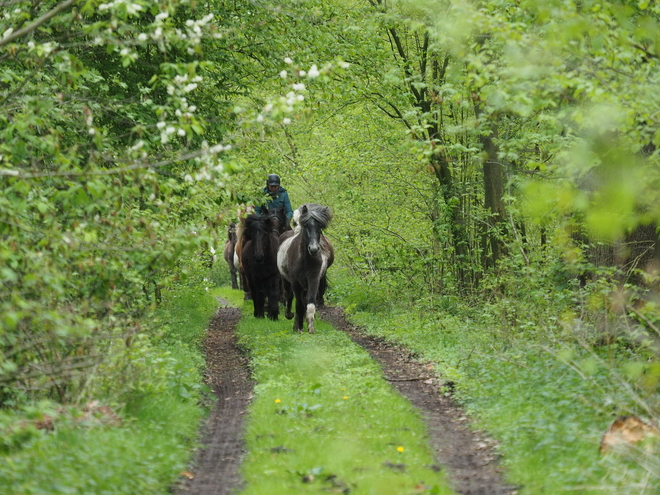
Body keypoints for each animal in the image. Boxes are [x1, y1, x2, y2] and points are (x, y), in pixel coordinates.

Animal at [276, 203, 332, 336]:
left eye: (319, 226)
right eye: (306, 226)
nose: (314, 249)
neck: (305, 259)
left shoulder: (313, 280)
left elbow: (310, 304)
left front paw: (310, 327)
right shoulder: (296, 282)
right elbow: (299, 305)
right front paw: (300, 328)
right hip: (286, 281)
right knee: (289, 296)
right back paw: (290, 316)